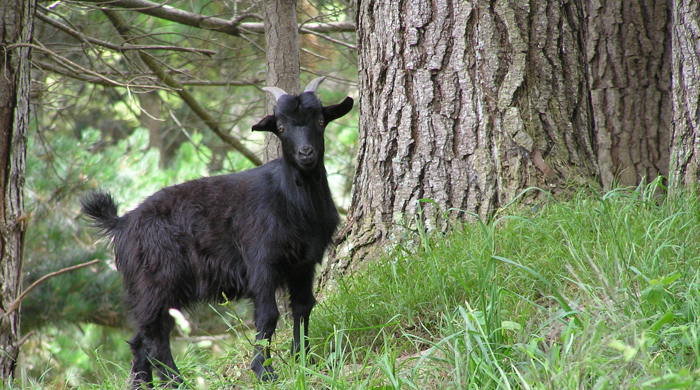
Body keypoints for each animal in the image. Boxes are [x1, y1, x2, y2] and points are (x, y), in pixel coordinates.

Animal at [82, 77, 352, 386]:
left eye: (320, 120)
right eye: (281, 127)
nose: (306, 153)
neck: (293, 201)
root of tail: (123, 222)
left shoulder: (303, 264)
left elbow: (303, 306)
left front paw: (304, 361)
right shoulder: (262, 262)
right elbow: (268, 315)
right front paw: (264, 371)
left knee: (140, 339)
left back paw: (146, 384)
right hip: (156, 282)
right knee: (154, 336)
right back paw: (177, 382)